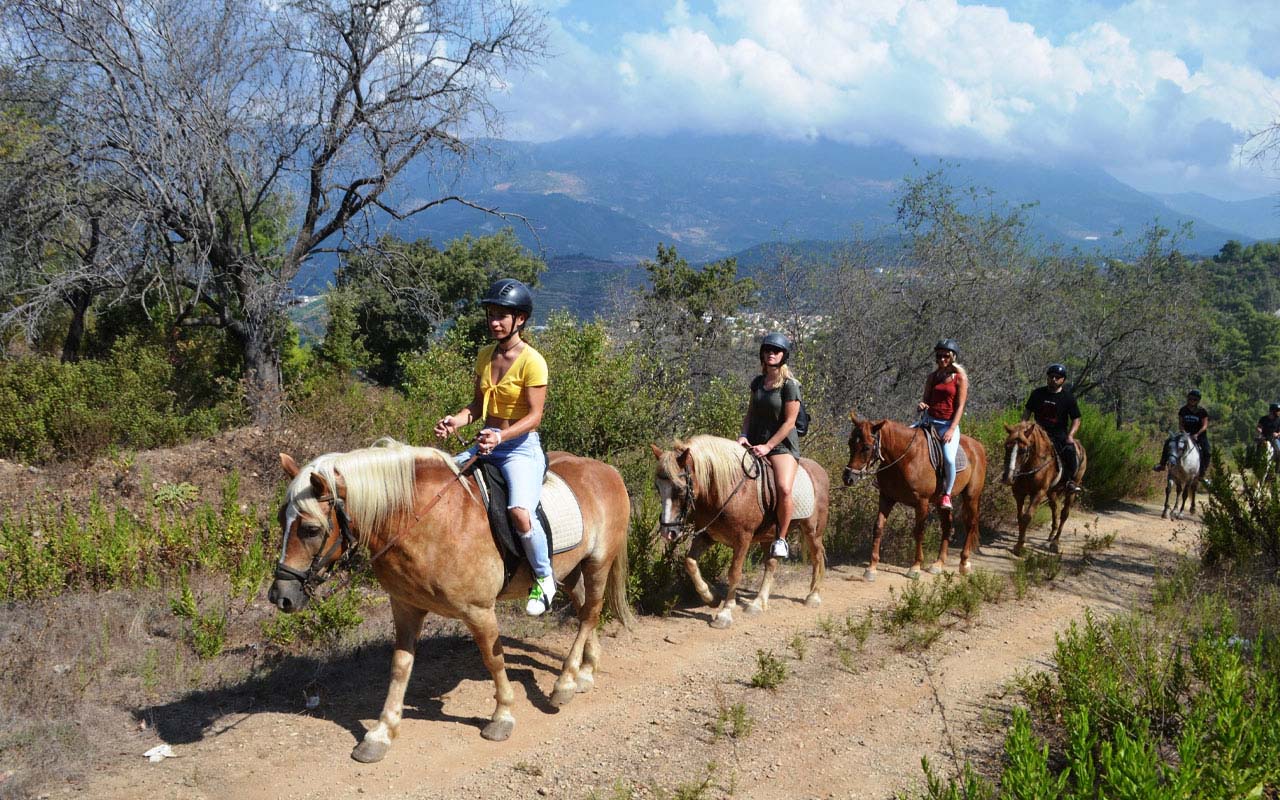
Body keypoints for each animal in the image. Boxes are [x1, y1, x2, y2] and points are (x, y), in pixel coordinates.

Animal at [268, 440, 634, 763]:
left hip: (598, 563)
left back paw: (565, 683)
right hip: (570, 572)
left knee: (589, 615)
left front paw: (502, 716)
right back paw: (586, 671)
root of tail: (608, 470)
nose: (280, 596)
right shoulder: (405, 607)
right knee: (586, 610)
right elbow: (400, 667)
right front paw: (381, 733)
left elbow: (493, 659)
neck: (427, 521)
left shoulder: (479, 610)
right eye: (281, 520)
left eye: (311, 529)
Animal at [650, 435, 830, 629]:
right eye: (658, 488)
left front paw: (725, 613)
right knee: (771, 564)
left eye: (680, 488)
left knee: (817, 557)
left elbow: (734, 573)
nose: (668, 532)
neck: (727, 489)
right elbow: (690, 562)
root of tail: (820, 470)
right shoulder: (707, 536)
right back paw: (758, 603)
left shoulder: (742, 540)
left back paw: (813, 596)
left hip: (813, 531)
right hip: (769, 537)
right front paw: (711, 597)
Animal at [842, 412, 987, 580]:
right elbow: (878, 527)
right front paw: (871, 568)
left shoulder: (921, 502)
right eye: (850, 443)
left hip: (971, 497)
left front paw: (915, 567)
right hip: (941, 502)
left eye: (866, 447)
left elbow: (919, 531)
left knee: (970, 524)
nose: (848, 478)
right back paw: (938, 564)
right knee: (947, 526)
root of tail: (978, 446)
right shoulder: (886, 497)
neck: (905, 458)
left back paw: (964, 563)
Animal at [1000, 420, 1088, 554]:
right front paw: (1020, 542)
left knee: (1064, 514)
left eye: (1023, 450)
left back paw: (1055, 543)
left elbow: (1026, 517)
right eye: (1006, 446)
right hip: (1051, 491)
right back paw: (1052, 534)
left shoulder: (1038, 493)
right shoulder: (1019, 493)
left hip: (1071, 491)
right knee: (1055, 507)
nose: (1008, 477)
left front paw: (1019, 546)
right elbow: (1020, 517)